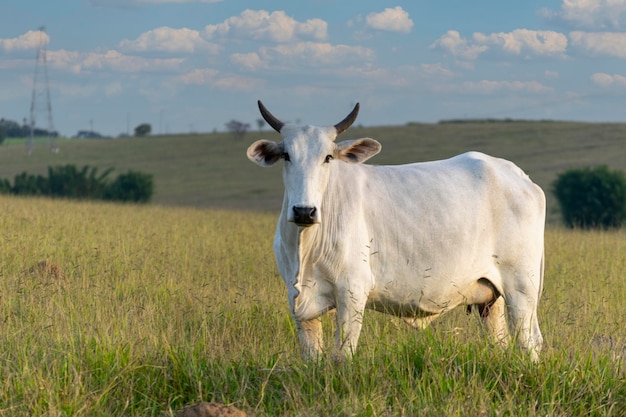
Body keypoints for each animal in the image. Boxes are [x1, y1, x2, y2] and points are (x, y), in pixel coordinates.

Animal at [246, 101, 544, 360]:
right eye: (286, 155)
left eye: (328, 157)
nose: (304, 211)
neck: (305, 247)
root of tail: (519, 176)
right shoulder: (298, 302)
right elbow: (312, 358)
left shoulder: (352, 291)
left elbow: (342, 355)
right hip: (490, 299)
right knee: (500, 341)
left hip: (522, 288)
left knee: (529, 342)